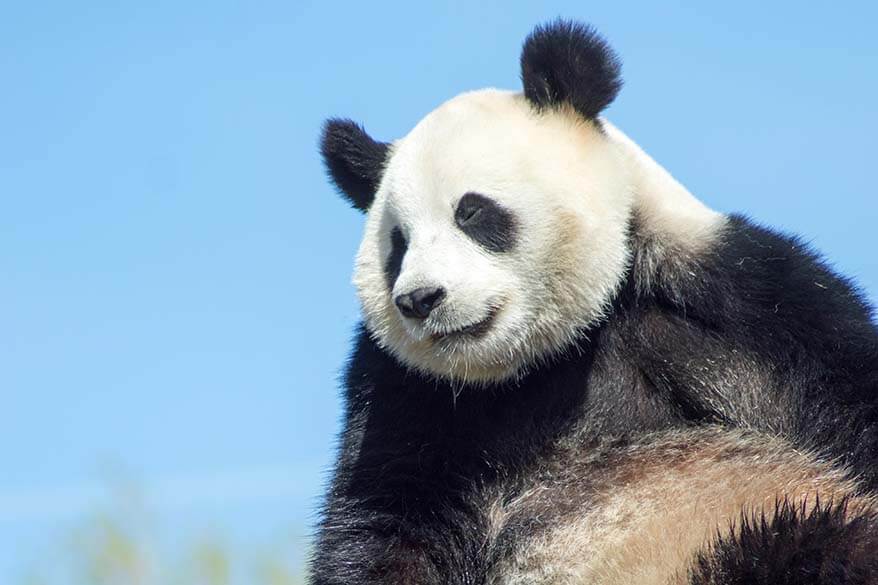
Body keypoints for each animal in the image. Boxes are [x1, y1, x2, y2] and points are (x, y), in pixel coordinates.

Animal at [310, 20, 878, 585]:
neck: (553, 352)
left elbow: (844, 390)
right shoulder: (406, 387)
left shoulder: (751, 305)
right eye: (398, 243)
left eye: (471, 212)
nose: (420, 299)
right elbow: (387, 516)